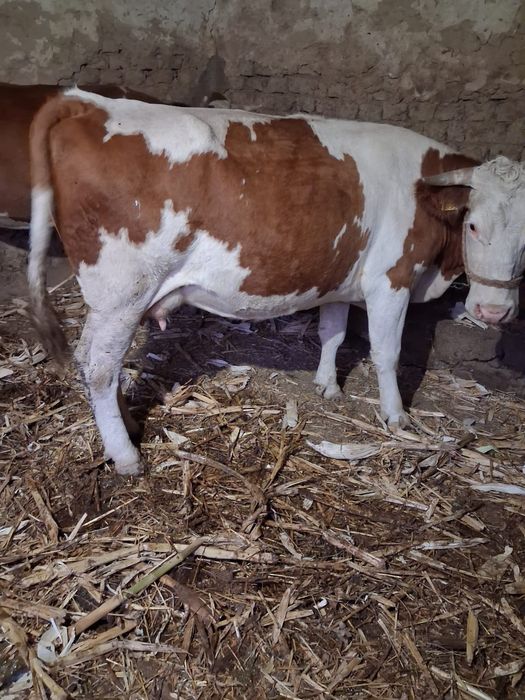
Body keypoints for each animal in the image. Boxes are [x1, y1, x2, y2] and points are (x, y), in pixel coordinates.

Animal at [27, 88, 525, 475]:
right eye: (473, 225)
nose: (494, 311)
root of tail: (91, 103)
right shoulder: (392, 278)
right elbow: (387, 353)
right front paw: (396, 416)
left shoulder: (339, 272)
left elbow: (333, 332)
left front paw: (327, 386)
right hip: (123, 292)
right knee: (100, 367)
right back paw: (127, 455)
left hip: (112, 301)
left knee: (90, 357)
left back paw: (129, 426)